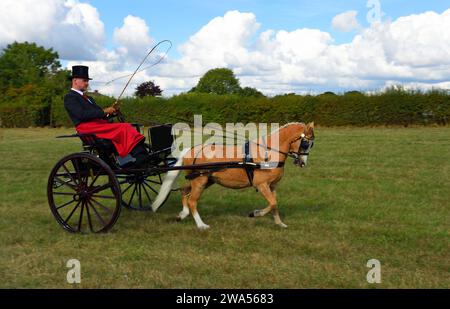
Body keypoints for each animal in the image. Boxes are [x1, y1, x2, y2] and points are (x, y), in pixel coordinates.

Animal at [149, 121, 314, 227]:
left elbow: (274, 204)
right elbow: (272, 203)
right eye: (306, 143)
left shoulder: (272, 186)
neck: (268, 153)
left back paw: (182, 215)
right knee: (192, 201)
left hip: (205, 180)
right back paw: (201, 225)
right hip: (200, 180)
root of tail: (192, 150)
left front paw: (280, 223)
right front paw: (255, 213)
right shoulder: (261, 185)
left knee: (184, 191)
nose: (303, 163)